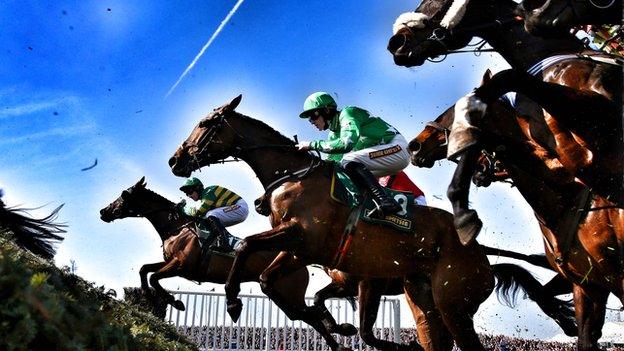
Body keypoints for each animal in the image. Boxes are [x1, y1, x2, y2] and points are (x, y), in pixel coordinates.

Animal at [99, 179, 354, 351]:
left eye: (123, 195)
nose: (103, 212)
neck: (177, 227)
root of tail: (298, 258)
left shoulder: (181, 265)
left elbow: (153, 277)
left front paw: (174, 301)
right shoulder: (170, 261)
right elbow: (145, 270)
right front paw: (152, 296)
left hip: (288, 290)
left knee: (309, 316)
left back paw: (339, 337)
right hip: (282, 292)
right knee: (306, 316)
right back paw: (339, 339)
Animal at [171, 94, 498, 351]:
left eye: (205, 124)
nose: (175, 161)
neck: (294, 176)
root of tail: (477, 249)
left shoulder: (306, 239)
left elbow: (246, 246)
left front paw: (233, 303)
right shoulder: (298, 249)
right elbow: (269, 282)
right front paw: (336, 327)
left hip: (454, 306)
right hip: (425, 298)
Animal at [410, 78, 624, 350]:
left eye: (452, 110)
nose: (415, 145)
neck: (565, 195)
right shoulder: (585, 283)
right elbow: (542, 294)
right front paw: (567, 322)